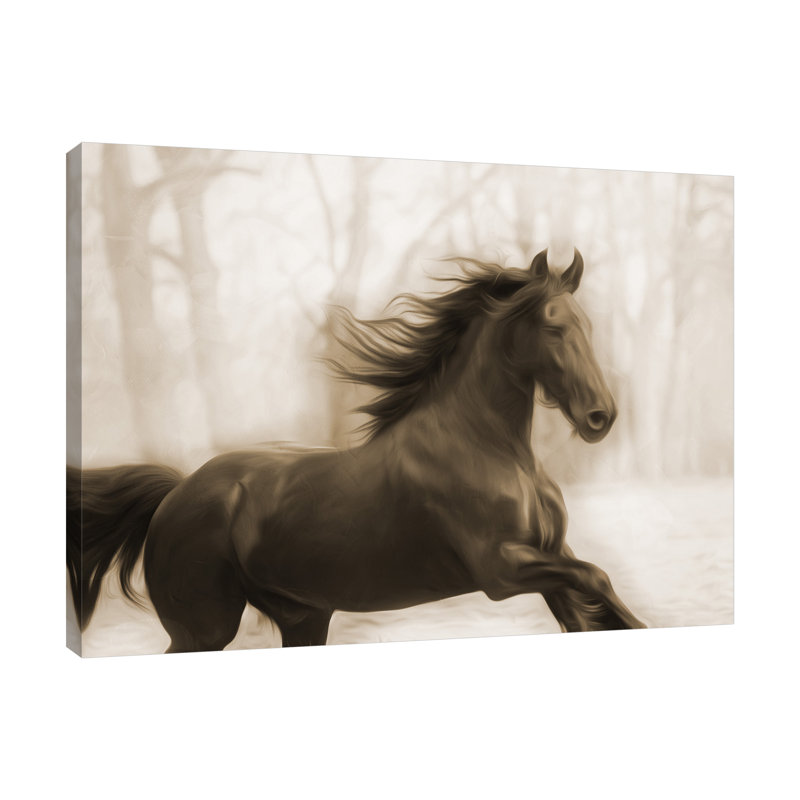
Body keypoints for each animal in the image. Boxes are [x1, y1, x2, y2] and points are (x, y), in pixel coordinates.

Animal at [67, 247, 645, 653]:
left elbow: (591, 600)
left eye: (587, 325)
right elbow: (597, 577)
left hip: (303, 616)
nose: (601, 417)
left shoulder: (551, 558)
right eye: (553, 326)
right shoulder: (502, 569)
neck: (491, 449)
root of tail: (176, 492)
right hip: (203, 629)